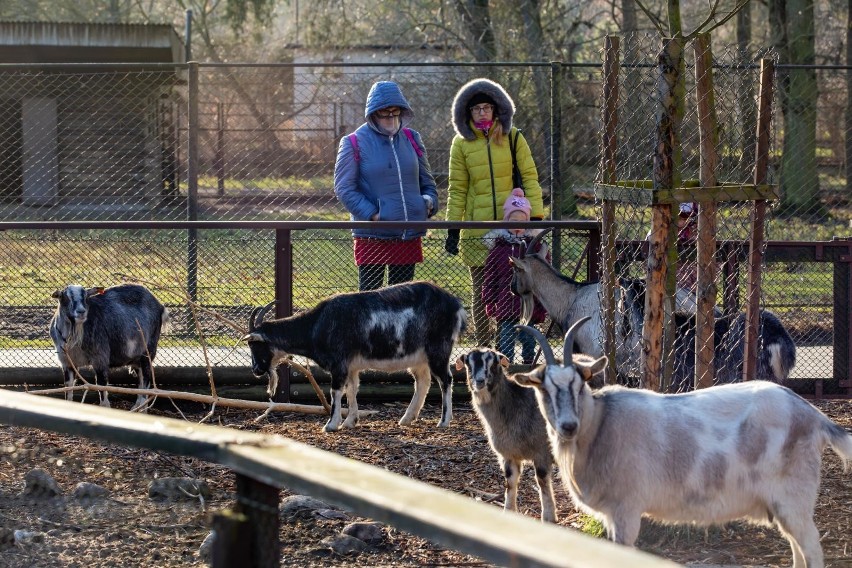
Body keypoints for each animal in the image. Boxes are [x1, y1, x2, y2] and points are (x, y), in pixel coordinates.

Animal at [51, 284, 170, 412]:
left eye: (86, 297)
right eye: (65, 297)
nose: (81, 311)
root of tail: (160, 306)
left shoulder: (100, 358)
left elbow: (102, 386)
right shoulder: (67, 362)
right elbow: (68, 388)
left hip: (148, 351)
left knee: (147, 379)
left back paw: (142, 410)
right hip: (137, 358)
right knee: (141, 380)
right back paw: (137, 407)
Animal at [243, 282, 470, 432]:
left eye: (254, 344)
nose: (256, 370)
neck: (316, 324)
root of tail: (456, 306)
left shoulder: (339, 363)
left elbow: (336, 392)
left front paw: (331, 424)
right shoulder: (351, 366)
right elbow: (351, 390)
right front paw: (350, 421)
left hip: (438, 350)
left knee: (446, 380)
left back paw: (443, 421)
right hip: (418, 358)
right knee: (423, 381)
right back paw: (406, 419)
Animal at [456, 350, 556, 524]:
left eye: (494, 362)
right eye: (468, 363)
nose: (480, 381)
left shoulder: (542, 451)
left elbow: (542, 481)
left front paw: (548, 518)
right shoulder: (508, 454)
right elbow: (510, 481)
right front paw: (508, 512)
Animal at [512, 318, 852, 568]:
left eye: (580, 383)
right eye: (543, 387)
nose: (568, 426)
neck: (599, 425)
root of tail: (812, 415)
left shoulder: (625, 509)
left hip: (794, 497)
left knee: (812, 549)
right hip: (784, 505)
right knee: (798, 550)